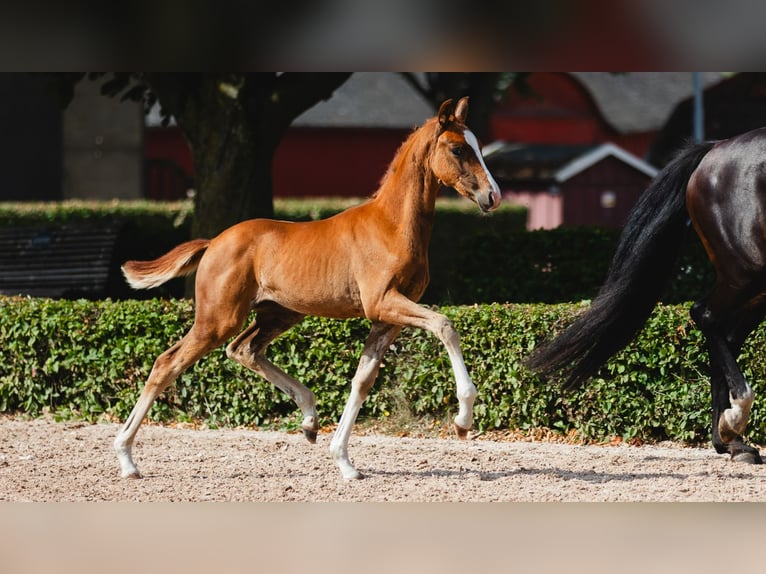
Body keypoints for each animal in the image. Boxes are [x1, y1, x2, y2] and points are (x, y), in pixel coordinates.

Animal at [114, 97, 501, 480]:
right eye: (457, 148)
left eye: (478, 145)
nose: (492, 196)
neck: (391, 226)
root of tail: (213, 243)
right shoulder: (384, 303)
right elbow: (445, 326)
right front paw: (463, 420)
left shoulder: (386, 317)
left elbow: (363, 379)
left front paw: (344, 461)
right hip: (218, 319)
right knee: (167, 363)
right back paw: (127, 459)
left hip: (279, 314)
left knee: (244, 350)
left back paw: (309, 419)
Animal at [525, 127, 766, 464]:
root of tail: (715, 149)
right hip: (746, 271)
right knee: (707, 316)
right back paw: (733, 424)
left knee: (726, 334)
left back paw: (732, 439)